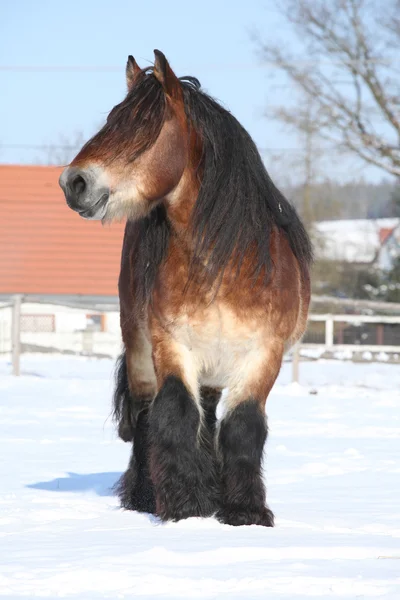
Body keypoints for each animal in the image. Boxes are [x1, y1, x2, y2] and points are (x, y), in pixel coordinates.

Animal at [59, 51, 312, 528]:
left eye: (143, 126)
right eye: (112, 119)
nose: (73, 182)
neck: (223, 269)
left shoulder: (263, 356)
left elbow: (243, 427)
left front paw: (244, 512)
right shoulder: (172, 346)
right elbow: (174, 415)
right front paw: (186, 508)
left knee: (210, 417)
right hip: (139, 349)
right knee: (145, 415)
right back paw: (143, 496)